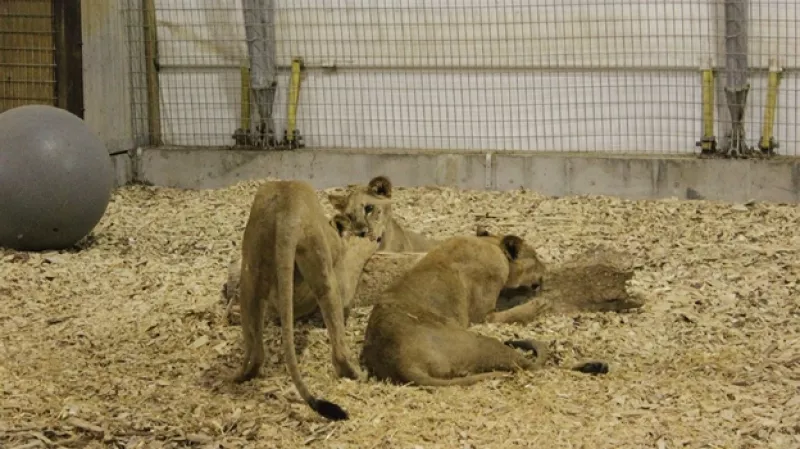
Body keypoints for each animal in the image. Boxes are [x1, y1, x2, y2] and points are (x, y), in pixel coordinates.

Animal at [234, 180, 379, 421]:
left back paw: (240, 376)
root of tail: (287, 213)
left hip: (251, 270)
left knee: (255, 349)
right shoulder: (341, 272)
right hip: (323, 272)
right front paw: (369, 241)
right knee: (339, 350)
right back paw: (357, 375)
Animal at [359, 234, 609, 387]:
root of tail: (401, 362)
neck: (492, 244)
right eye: (536, 258)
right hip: (480, 342)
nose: (545, 269)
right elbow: (508, 313)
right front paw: (538, 304)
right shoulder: (484, 314)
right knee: (533, 366)